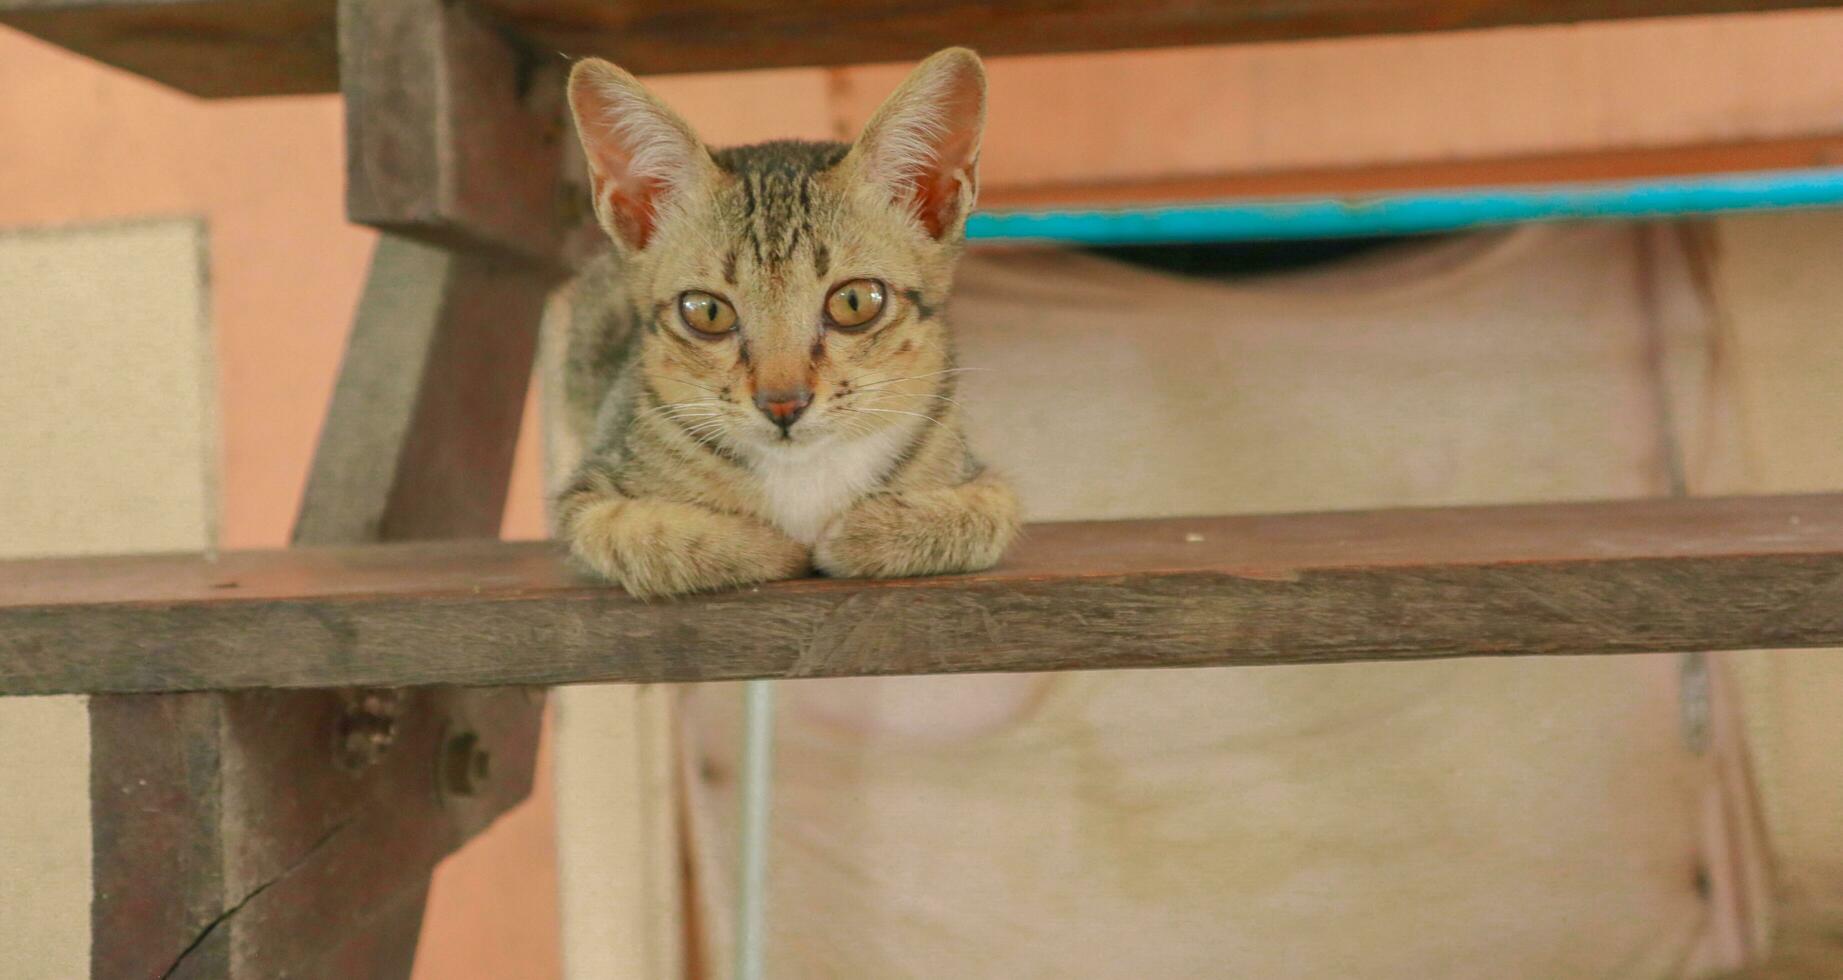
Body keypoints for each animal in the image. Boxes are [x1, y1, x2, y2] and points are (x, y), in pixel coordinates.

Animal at [552, 49, 1032, 600]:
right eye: (707, 311)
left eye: (854, 302)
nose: (783, 403)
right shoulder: (585, 494)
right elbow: (642, 533)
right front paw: (768, 546)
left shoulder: (976, 475)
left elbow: (987, 516)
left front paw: (859, 535)